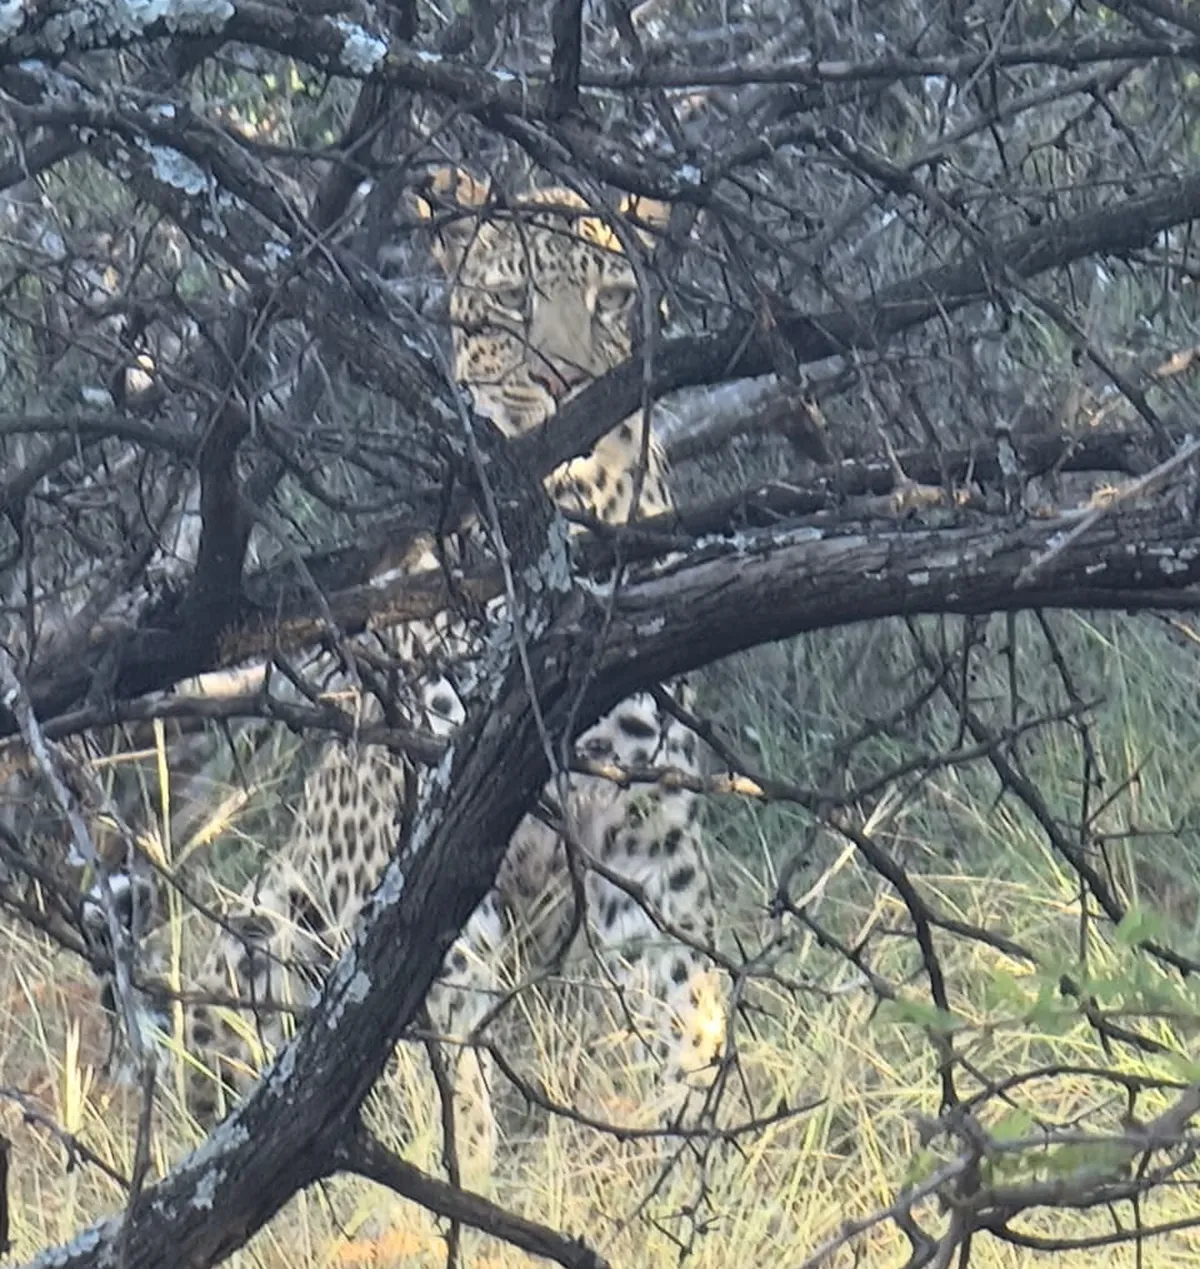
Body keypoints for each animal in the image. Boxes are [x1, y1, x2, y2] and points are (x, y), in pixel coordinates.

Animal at [89, 169, 727, 1186]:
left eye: (611, 299)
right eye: (511, 300)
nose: (565, 380)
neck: (573, 510)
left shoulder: (644, 829)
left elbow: (691, 997)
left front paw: (691, 1171)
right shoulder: (431, 832)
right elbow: (446, 1050)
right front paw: (458, 1181)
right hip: (273, 917)